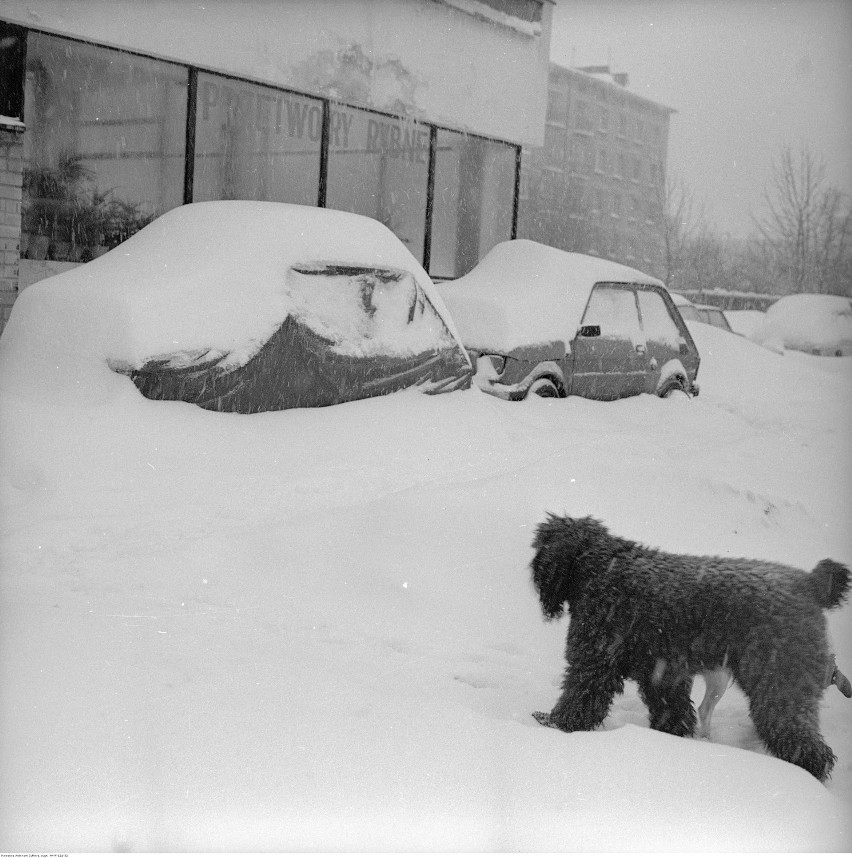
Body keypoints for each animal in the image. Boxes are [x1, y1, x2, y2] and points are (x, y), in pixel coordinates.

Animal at [528, 512, 848, 780]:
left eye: (540, 546)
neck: (602, 565)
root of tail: (810, 584)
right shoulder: (663, 674)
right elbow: (674, 713)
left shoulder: (595, 662)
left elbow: (579, 701)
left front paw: (555, 725)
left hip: (779, 684)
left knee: (803, 742)